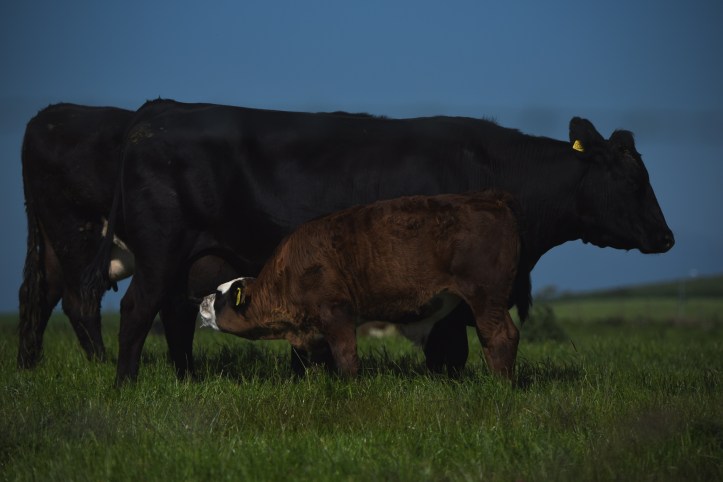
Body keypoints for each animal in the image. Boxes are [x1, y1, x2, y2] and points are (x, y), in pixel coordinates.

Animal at [199, 191, 522, 379]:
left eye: (219, 294)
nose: (201, 301)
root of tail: (490, 199)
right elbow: (320, 362)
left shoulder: (336, 311)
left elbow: (346, 357)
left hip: (485, 294)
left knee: (500, 336)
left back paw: (499, 384)